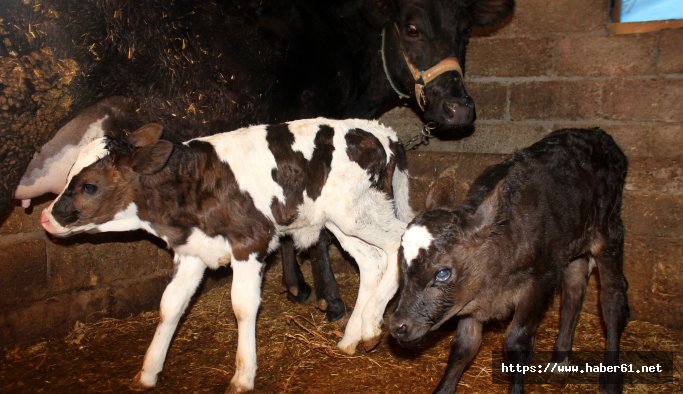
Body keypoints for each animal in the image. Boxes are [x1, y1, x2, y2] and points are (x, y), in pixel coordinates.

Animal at [2, 0, 516, 320]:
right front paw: (330, 301)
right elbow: (317, 235)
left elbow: (289, 220)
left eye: (464, 30)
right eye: (411, 27)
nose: (459, 109)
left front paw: (295, 287)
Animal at [40, 118, 414, 392]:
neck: (189, 183)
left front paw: (243, 376)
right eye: (70, 173)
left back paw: (370, 327)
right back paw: (351, 338)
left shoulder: (250, 241)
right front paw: (147, 373)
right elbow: (169, 305)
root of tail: (383, 132)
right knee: (371, 261)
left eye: (89, 186)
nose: (45, 217)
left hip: (358, 213)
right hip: (342, 220)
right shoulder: (192, 252)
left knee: (398, 241)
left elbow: (243, 307)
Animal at [390, 127, 632, 392]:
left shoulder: (541, 281)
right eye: (401, 267)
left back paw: (611, 380)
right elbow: (465, 345)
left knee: (612, 300)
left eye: (443, 273)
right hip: (573, 246)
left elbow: (517, 342)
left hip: (609, 230)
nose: (398, 326)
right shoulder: (472, 295)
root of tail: (597, 133)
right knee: (573, 292)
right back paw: (560, 363)